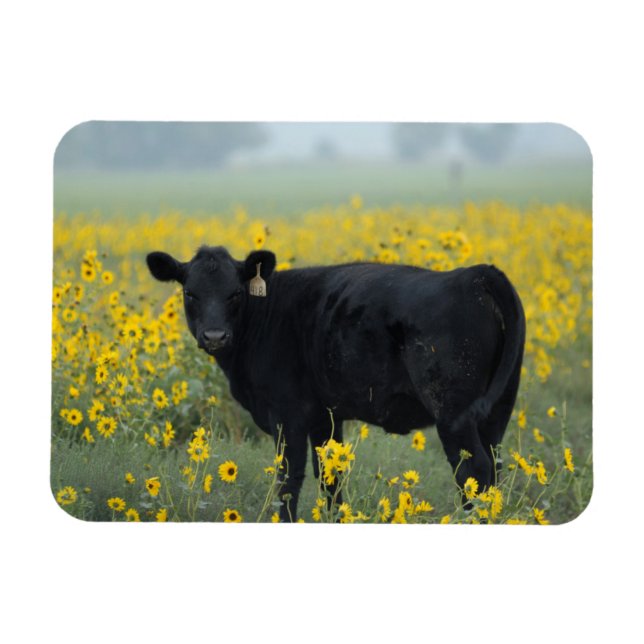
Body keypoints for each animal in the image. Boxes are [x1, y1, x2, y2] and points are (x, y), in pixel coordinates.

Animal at [146, 245, 526, 522]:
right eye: (190, 293)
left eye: (235, 293)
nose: (215, 336)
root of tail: (474, 274)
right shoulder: (324, 417)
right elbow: (331, 477)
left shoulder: (287, 415)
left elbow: (289, 480)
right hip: (497, 410)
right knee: (493, 470)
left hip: (453, 413)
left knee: (473, 472)